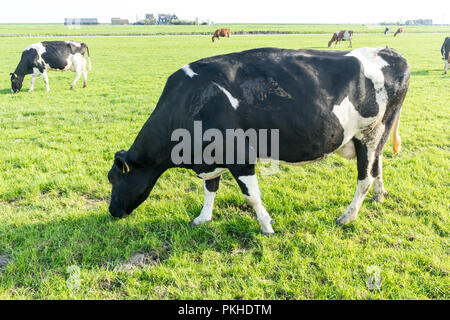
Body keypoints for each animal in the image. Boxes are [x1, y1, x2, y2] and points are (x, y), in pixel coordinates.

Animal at [107, 46, 410, 234]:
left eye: (114, 179)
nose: (112, 212)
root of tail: (389, 52)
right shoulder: (211, 156)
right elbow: (210, 188)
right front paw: (203, 218)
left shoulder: (238, 155)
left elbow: (251, 196)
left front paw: (266, 227)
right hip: (377, 134)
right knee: (377, 165)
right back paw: (379, 197)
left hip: (369, 132)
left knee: (364, 177)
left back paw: (347, 216)